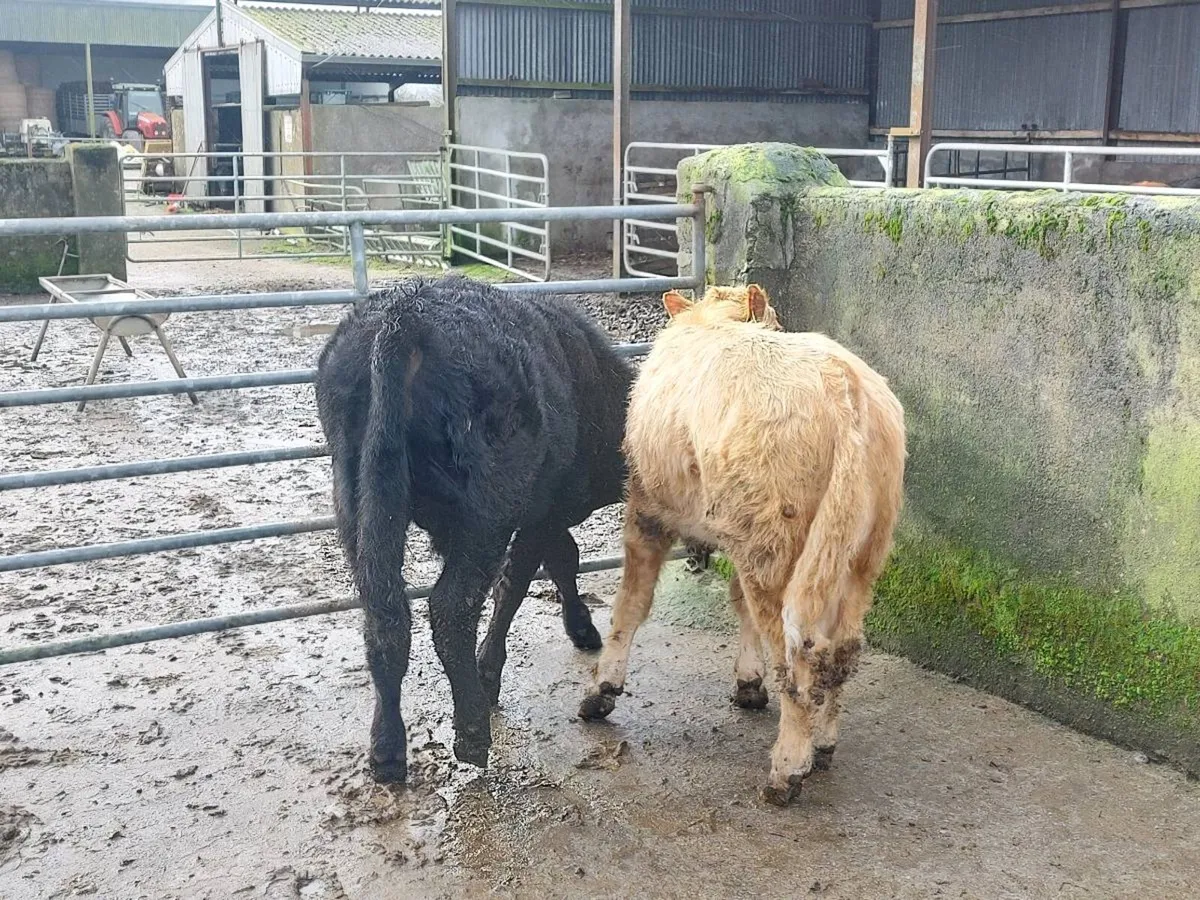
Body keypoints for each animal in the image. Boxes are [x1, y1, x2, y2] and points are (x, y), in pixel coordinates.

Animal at [316, 275, 633, 783]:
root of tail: (405, 315)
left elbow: (560, 559)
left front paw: (580, 627)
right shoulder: (540, 510)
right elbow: (526, 577)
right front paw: (492, 674)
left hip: (356, 495)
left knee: (384, 614)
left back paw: (387, 749)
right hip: (489, 506)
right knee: (451, 607)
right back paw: (471, 730)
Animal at [579, 284, 907, 805]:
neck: (716, 320)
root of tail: (843, 390)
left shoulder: (646, 507)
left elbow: (631, 602)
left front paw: (602, 690)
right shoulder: (736, 531)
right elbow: (738, 604)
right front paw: (749, 683)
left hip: (776, 543)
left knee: (800, 657)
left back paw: (788, 770)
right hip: (856, 551)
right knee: (842, 649)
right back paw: (824, 743)